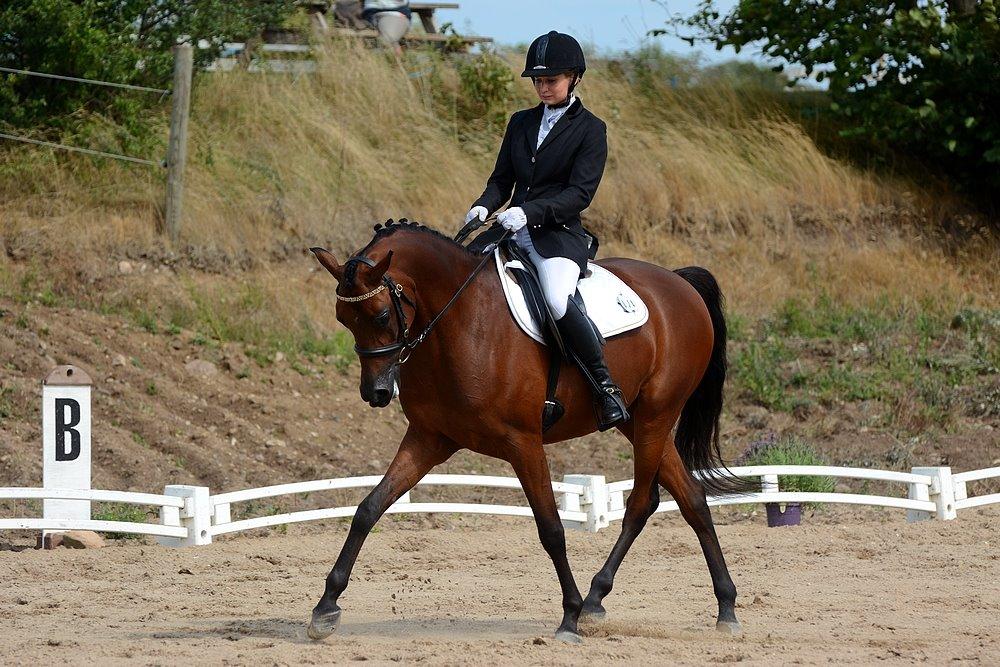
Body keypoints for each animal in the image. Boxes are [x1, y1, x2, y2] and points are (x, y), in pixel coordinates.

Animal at [308, 222, 748, 644]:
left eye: (382, 315)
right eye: (342, 318)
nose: (376, 393)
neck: (462, 321)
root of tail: (678, 282)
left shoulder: (523, 442)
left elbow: (552, 529)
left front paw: (569, 618)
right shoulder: (428, 438)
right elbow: (369, 509)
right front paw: (325, 608)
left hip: (657, 415)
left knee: (642, 504)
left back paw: (594, 602)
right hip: (636, 421)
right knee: (692, 499)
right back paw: (722, 607)